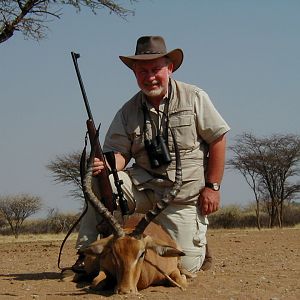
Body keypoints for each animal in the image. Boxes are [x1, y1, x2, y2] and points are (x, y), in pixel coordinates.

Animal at [78, 128, 189, 292]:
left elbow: (181, 281)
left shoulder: (173, 270)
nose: (125, 290)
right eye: (114, 253)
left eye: (142, 253)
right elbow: (95, 282)